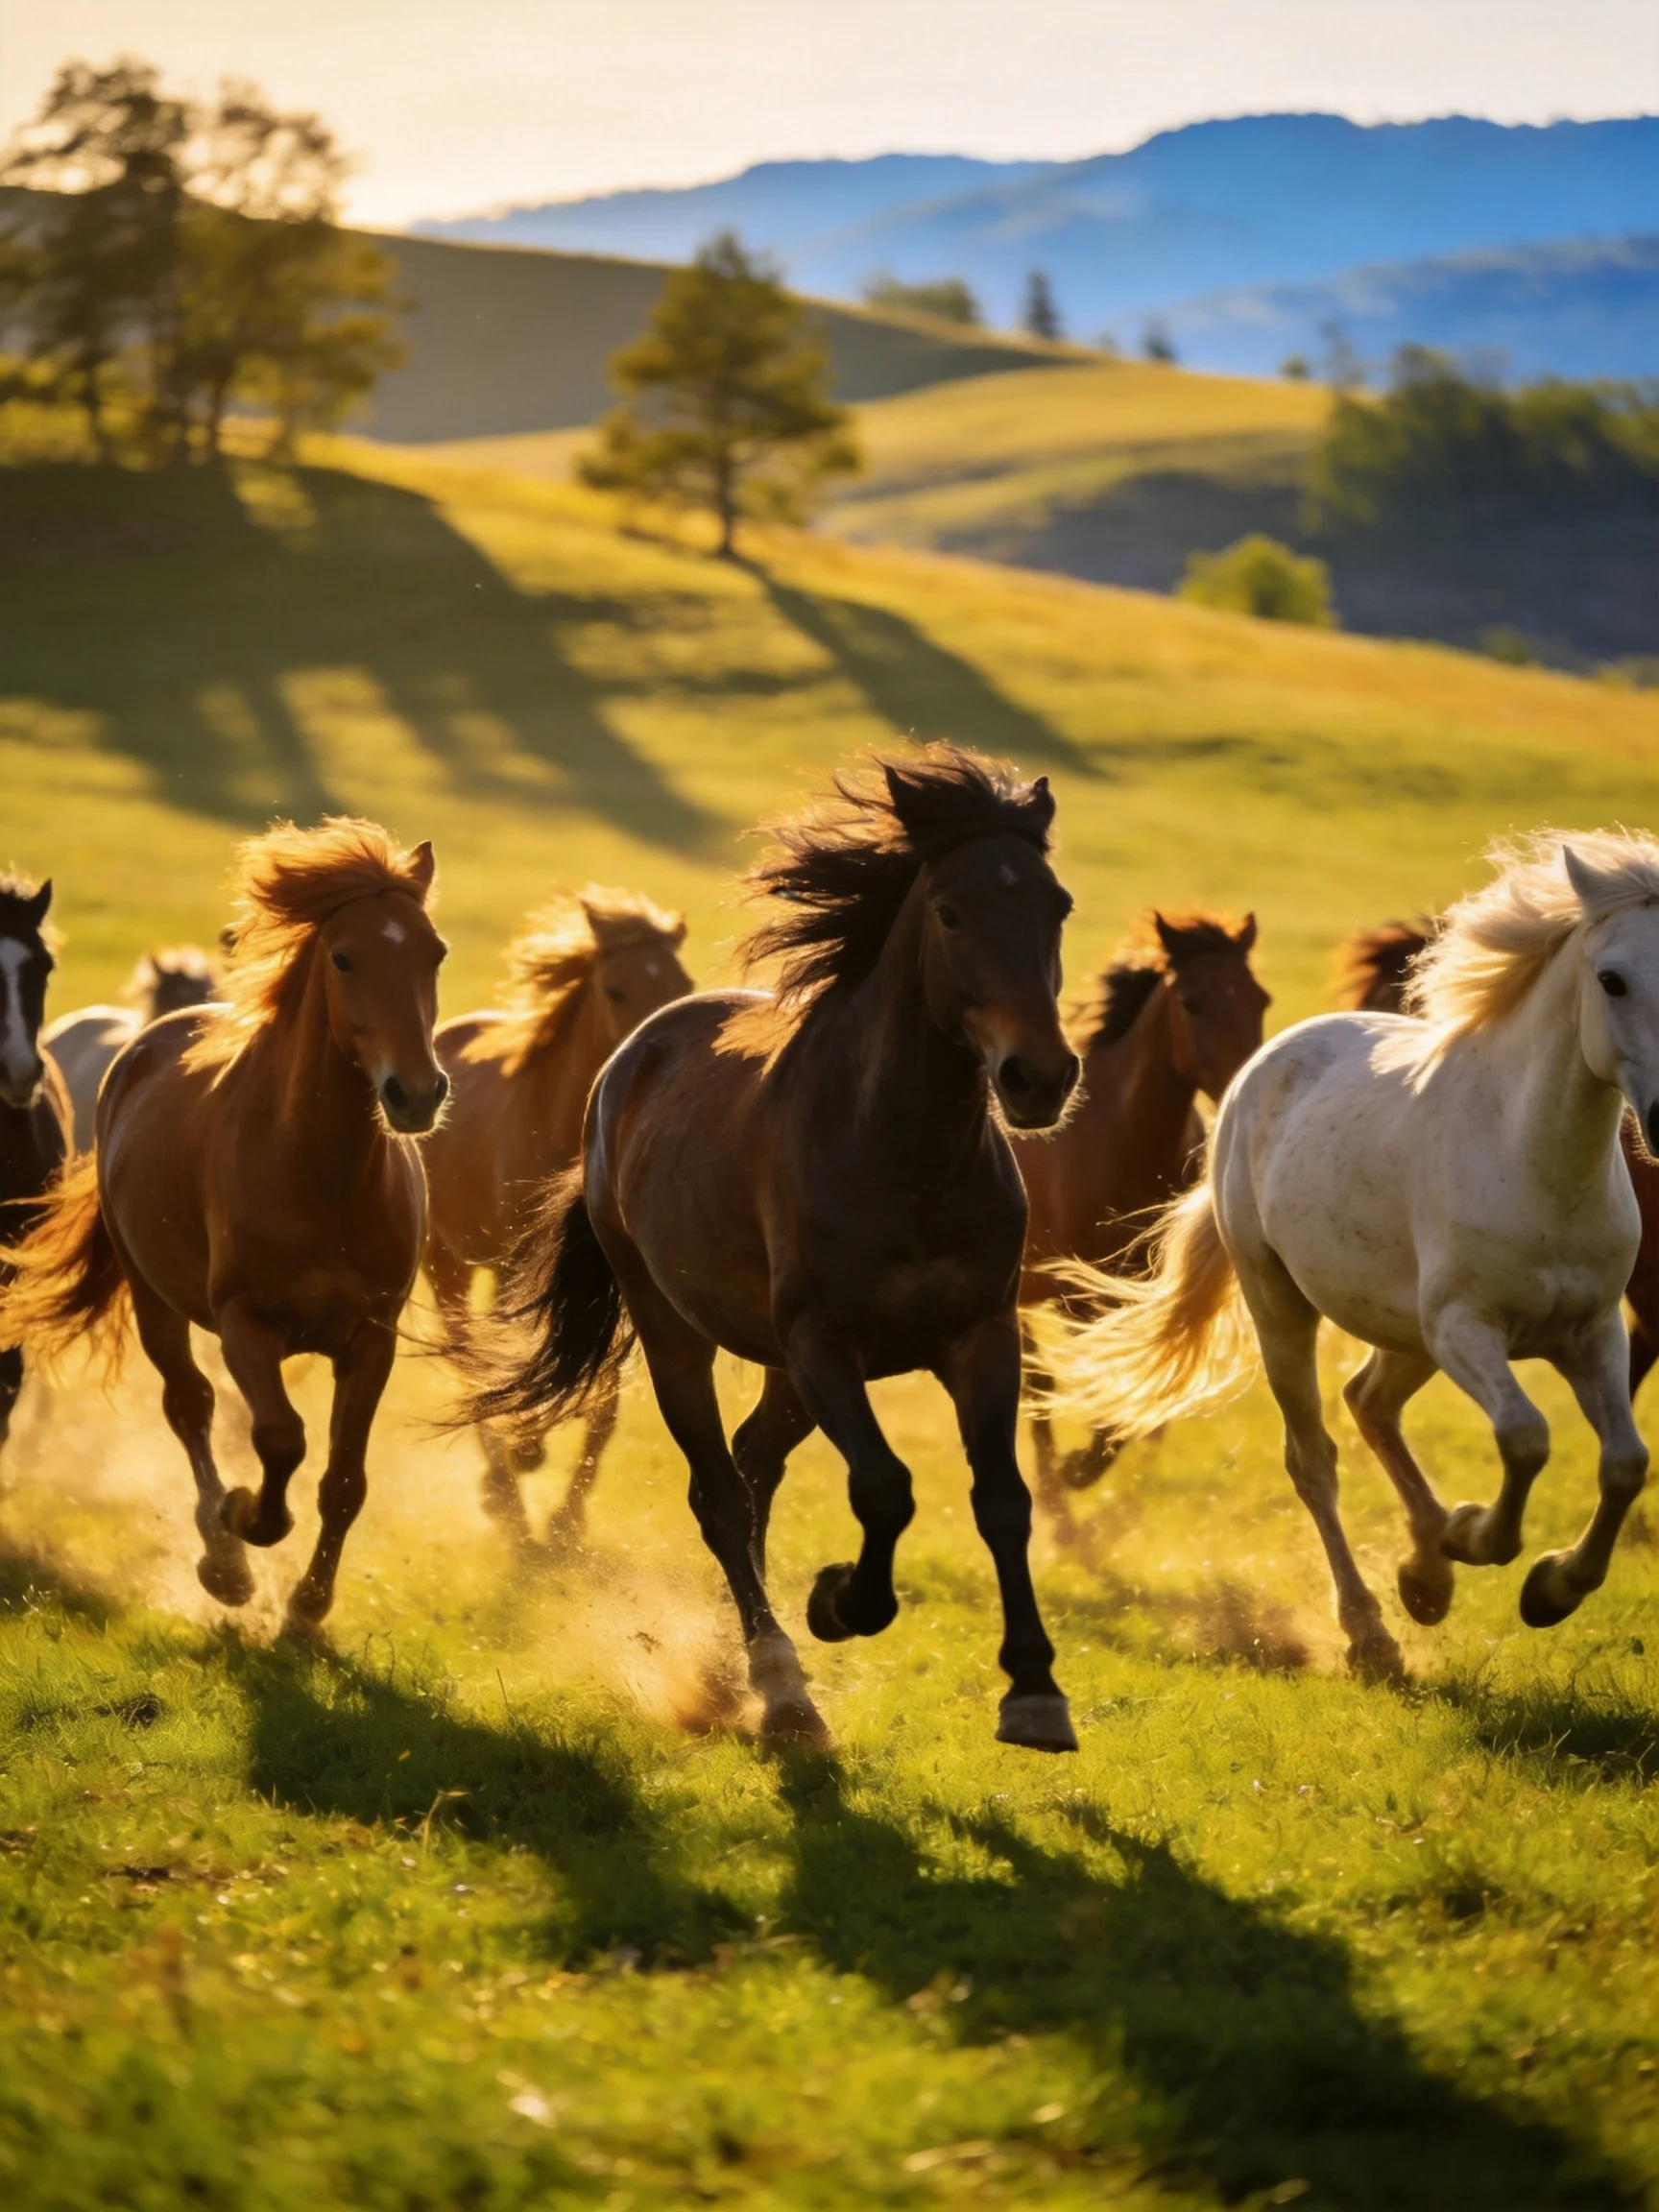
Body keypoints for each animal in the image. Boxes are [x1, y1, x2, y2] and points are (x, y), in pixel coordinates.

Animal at [423, 887, 692, 1548]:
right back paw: (502, 1488)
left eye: (682, 982)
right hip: (448, 1265)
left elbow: (604, 1403)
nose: (656, 1052)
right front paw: (526, 1455)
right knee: (468, 1356)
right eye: (615, 989)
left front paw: (567, 1523)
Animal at [469, 746, 1082, 1751]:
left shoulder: (983, 1336)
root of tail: (626, 1061)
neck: (904, 1156)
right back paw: (781, 1681)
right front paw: (841, 1602)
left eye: (1056, 905)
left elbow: (1002, 1499)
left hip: (783, 1370)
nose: (1040, 1077)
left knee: (753, 1466)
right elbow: (884, 1487)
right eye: (951, 912)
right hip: (679, 1333)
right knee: (720, 1493)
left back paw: (742, 1666)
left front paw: (1034, 1691)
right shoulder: (824, 1342)